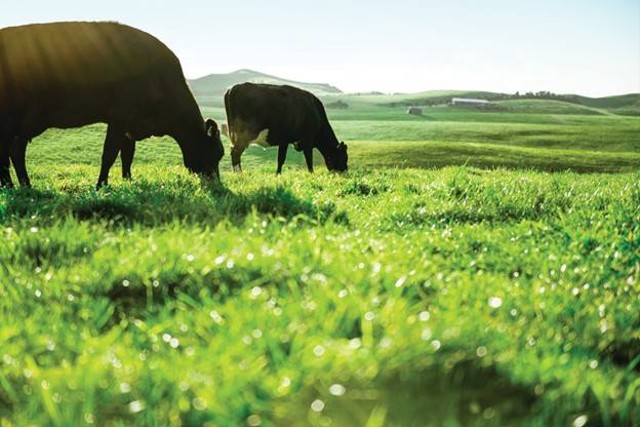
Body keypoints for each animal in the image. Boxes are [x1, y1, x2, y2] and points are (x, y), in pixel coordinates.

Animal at [0, 21, 225, 189]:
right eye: (217, 152)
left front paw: (127, 180)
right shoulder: (120, 118)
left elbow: (127, 155)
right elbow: (109, 154)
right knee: (7, 152)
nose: (217, 185)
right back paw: (10, 186)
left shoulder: (130, 125)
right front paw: (101, 186)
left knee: (15, 150)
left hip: (29, 121)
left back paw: (24, 186)